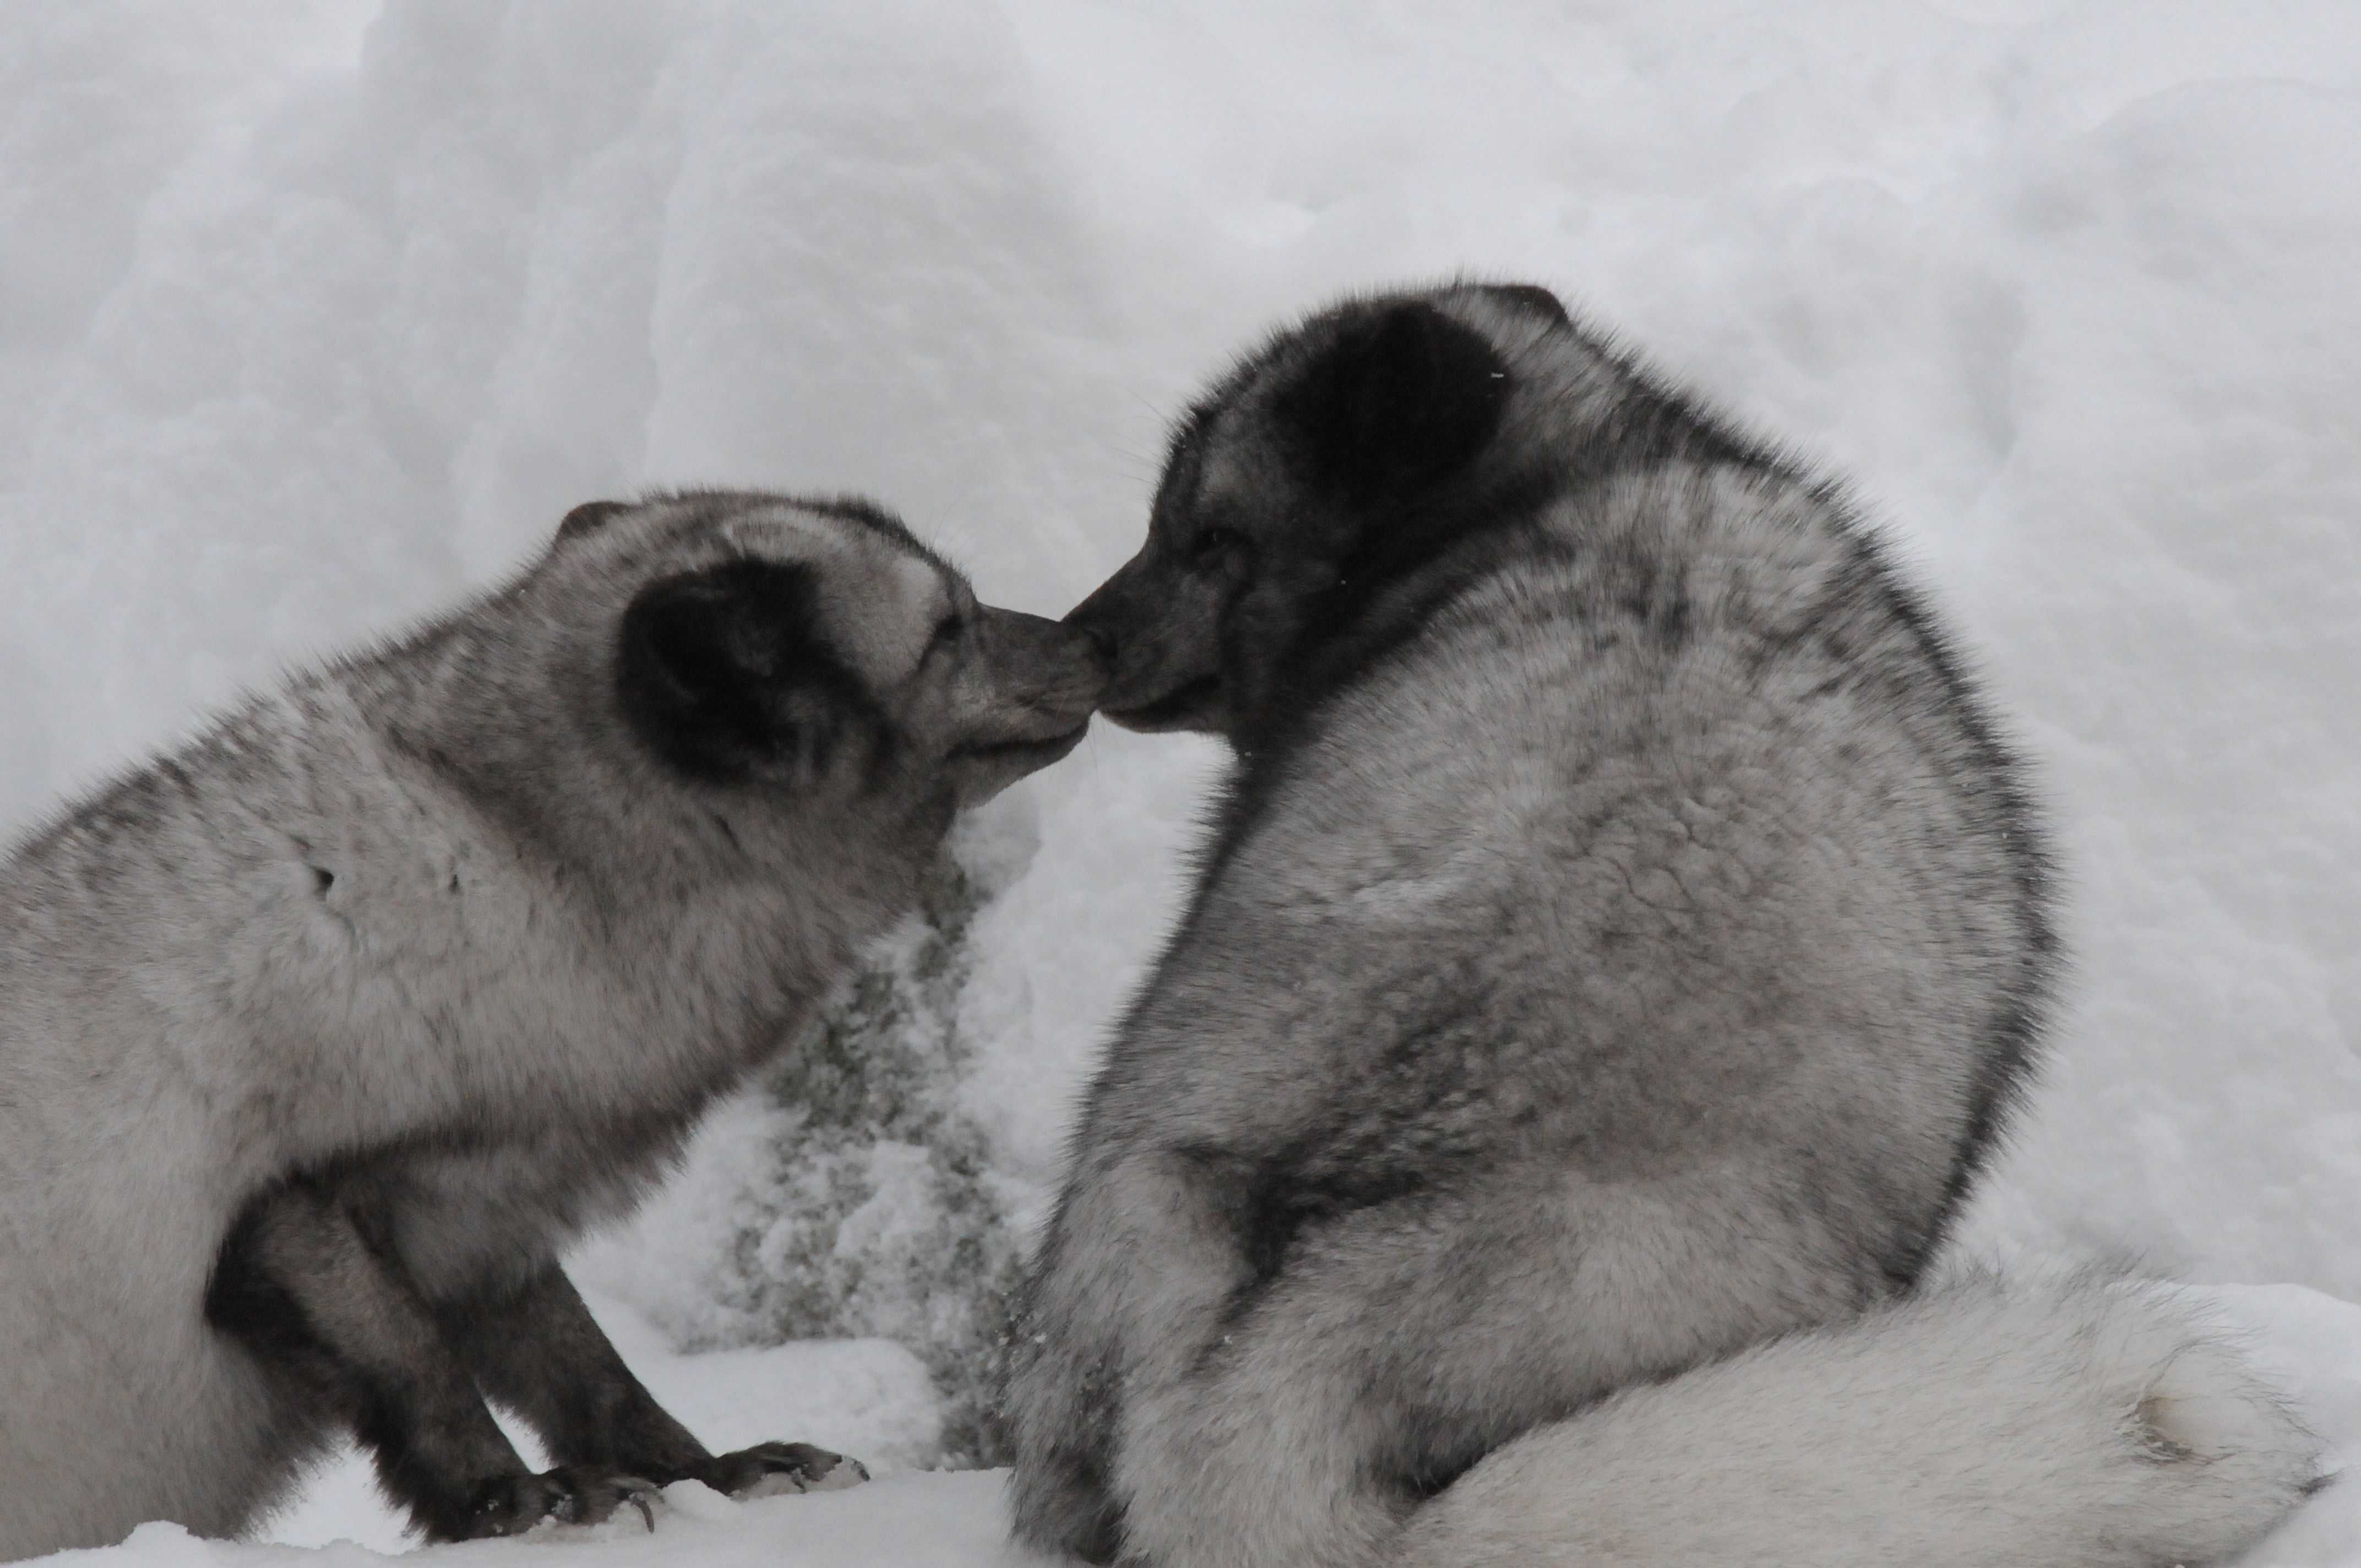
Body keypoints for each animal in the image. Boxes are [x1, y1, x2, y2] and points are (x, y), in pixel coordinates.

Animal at [0, 491, 1105, 1558]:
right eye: (948, 631)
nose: (1092, 635)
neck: (523, 856)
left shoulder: (482, 1219)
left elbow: (587, 1368)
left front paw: (712, 1477)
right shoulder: (289, 1210)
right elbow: (422, 1372)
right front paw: (520, 1503)